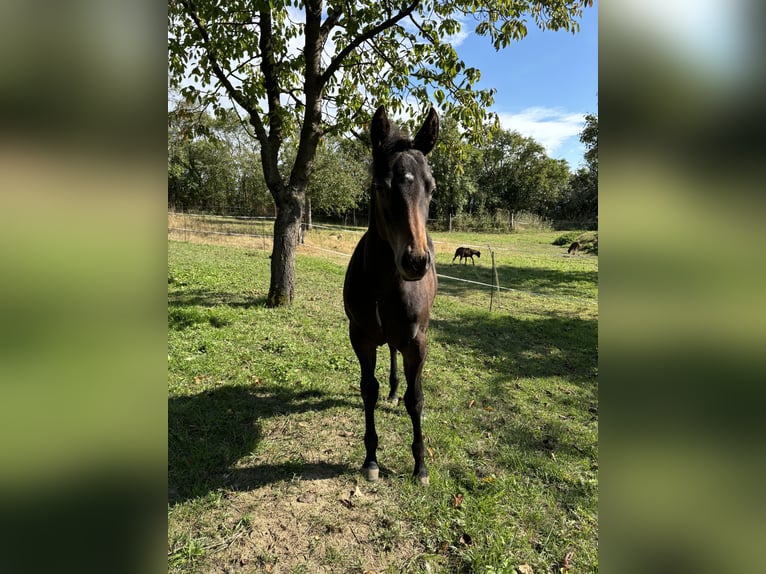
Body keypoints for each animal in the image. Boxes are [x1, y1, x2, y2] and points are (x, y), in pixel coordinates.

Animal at [344, 107, 440, 486]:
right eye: (380, 187)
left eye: (431, 188)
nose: (415, 261)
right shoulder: (361, 337)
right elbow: (367, 389)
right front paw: (371, 460)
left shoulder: (418, 341)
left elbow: (418, 400)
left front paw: (420, 468)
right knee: (392, 356)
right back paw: (393, 391)